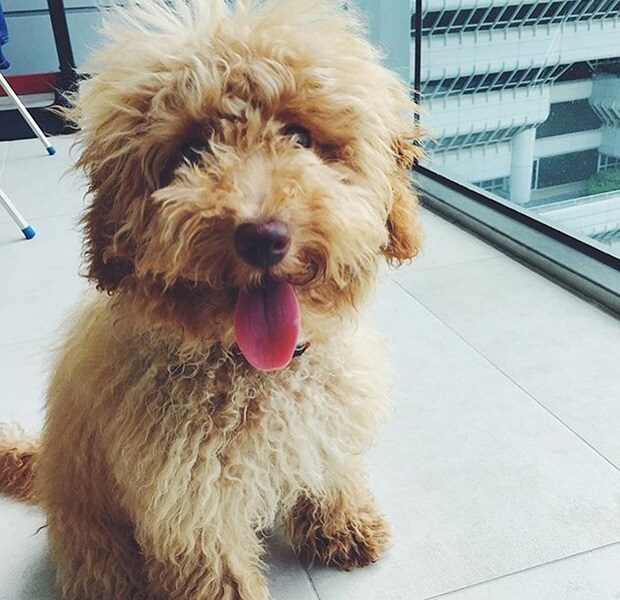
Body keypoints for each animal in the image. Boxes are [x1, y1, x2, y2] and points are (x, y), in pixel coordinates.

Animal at [0, 1, 422, 600]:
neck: (256, 370)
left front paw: (343, 527)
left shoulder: (325, 424)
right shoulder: (186, 494)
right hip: (92, 527)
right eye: (192, 151)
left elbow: (330, 469)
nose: (262, 237)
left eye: (299, 134)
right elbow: (214, 564)